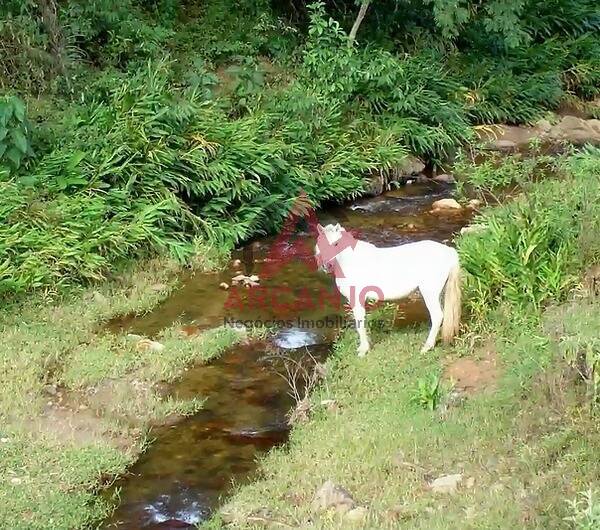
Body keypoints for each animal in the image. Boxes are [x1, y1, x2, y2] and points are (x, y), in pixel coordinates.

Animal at [316, 221, 462, 352]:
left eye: (336, 244)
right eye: (321, 245)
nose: (327, 266)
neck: (350, 260)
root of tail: (448, 251)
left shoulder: (356, 298)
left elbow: (360, 322)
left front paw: (363, 350)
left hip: (429, 292)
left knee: (437, 316)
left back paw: (427, 347)